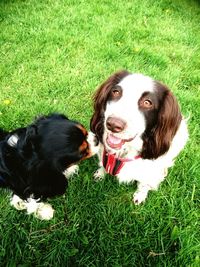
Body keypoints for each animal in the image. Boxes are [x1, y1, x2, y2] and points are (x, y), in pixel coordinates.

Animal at [90, 70, 188, 205]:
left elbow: (144, 184)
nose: (113, 125)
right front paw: (100, 173)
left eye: (147, 102)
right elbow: (103, 164)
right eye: (116, 92)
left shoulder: (151, 171)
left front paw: (140, 196)